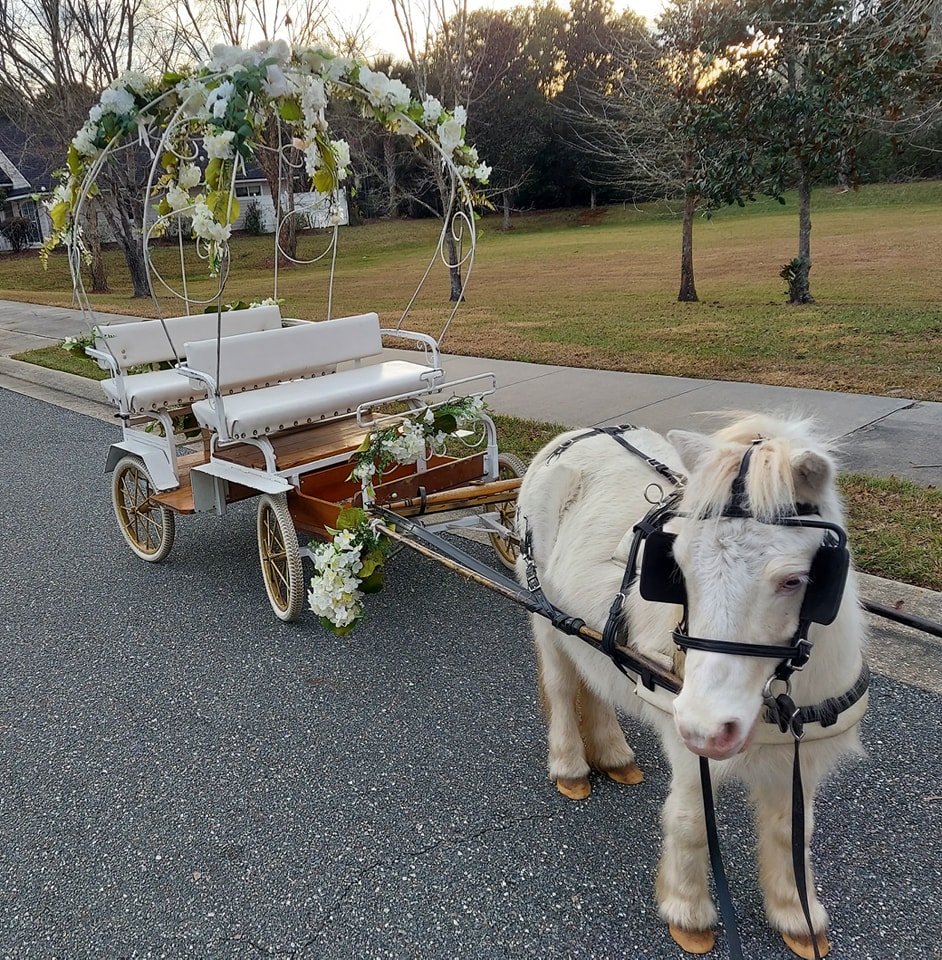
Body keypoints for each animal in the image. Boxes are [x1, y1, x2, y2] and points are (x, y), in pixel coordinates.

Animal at [516, 416, 872, 960]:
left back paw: (614, 754)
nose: (708, 726)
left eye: (796, 580)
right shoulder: (688, 741)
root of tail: (577, 434)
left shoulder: (801, 754)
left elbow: (793, 830)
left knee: (594, 681)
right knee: (560, 685)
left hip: (588, 630)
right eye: (676, 566)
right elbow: (691, 821)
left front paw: (797, 915)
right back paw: (571, 765)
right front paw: (687, 910)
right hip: (546, 614)